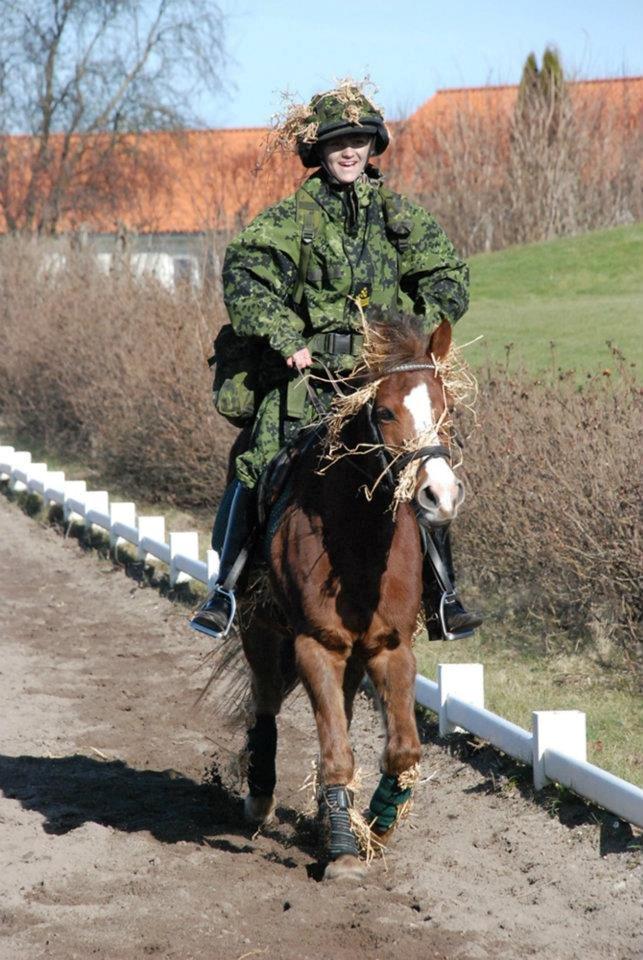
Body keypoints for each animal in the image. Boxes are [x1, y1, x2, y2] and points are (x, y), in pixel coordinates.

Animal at [234, 314, 466, 876]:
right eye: (384, 411)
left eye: (447, 407)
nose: (440, 497)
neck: (357, 537)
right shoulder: (316, 644)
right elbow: (335, 749)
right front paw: (341, 848)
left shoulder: (389, 646)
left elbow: (402, 750)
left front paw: (378, 823)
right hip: (260, 630)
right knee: (265, 703)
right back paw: (261, 795)